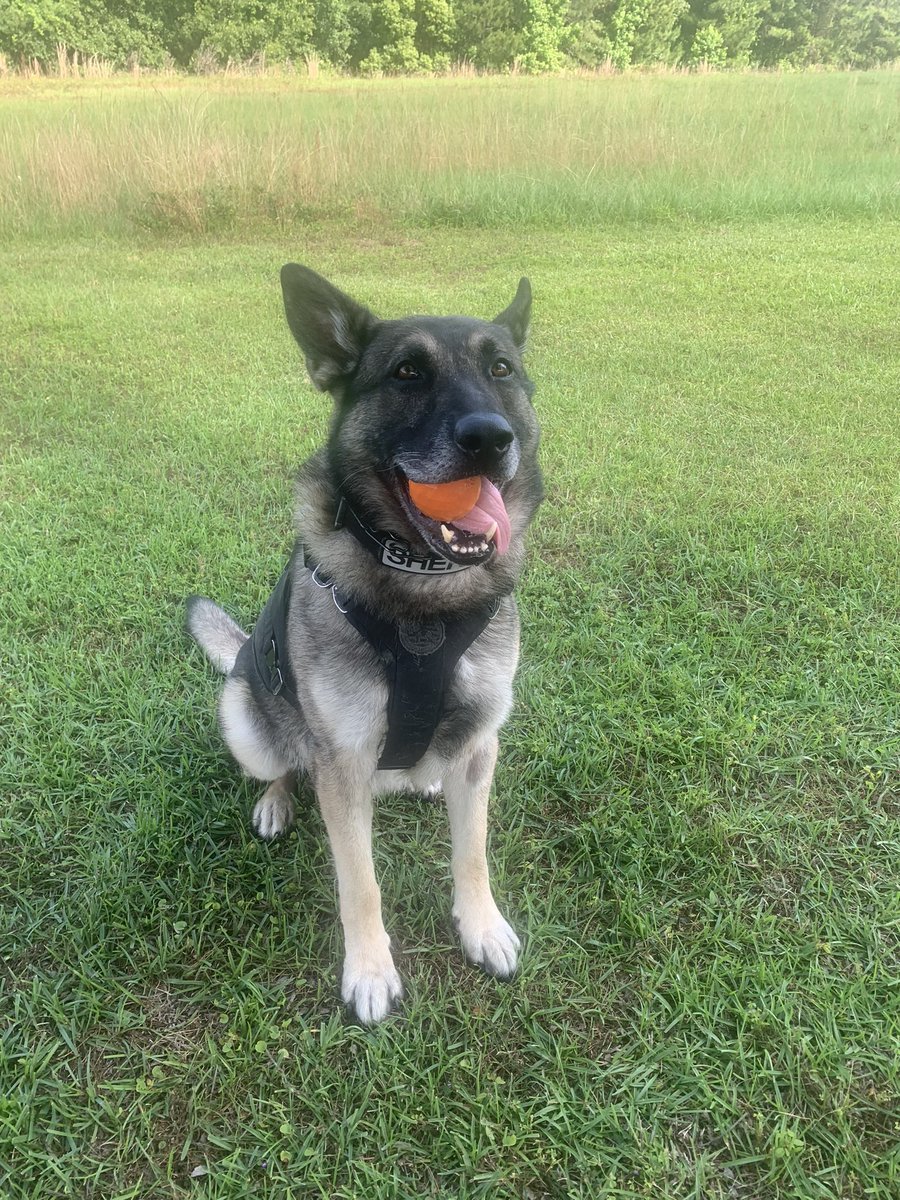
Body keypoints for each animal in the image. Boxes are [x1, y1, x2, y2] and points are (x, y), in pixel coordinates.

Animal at [184, 265, 542, 1022]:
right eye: (407, 372)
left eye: (501, 369)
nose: (490, 439)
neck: (423, 590)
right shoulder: (343, 764)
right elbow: (361, 881)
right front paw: (371, 970)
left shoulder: (481, 744)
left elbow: (473, 851)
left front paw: (482, 925)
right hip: (248, 719)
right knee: (286, 762)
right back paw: (276, 801)